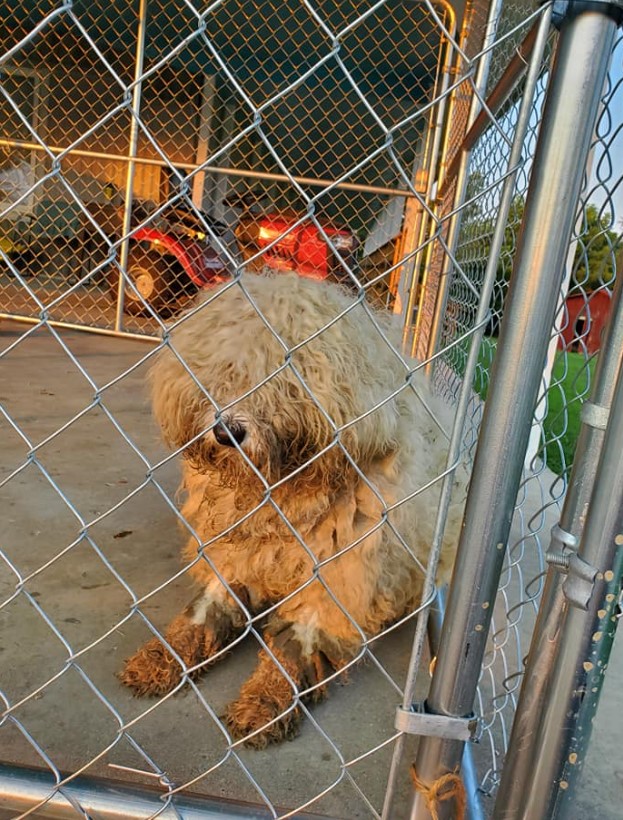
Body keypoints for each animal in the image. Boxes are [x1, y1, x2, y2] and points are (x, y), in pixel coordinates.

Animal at [119, 272, 466, 748]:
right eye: (227, 371)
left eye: (286, 378)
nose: (227, 432)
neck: (282, 493)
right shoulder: (233, 552)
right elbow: (201, 614)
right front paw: (159, 659)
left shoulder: (334, 578)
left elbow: (292, 650)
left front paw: (263, 704)